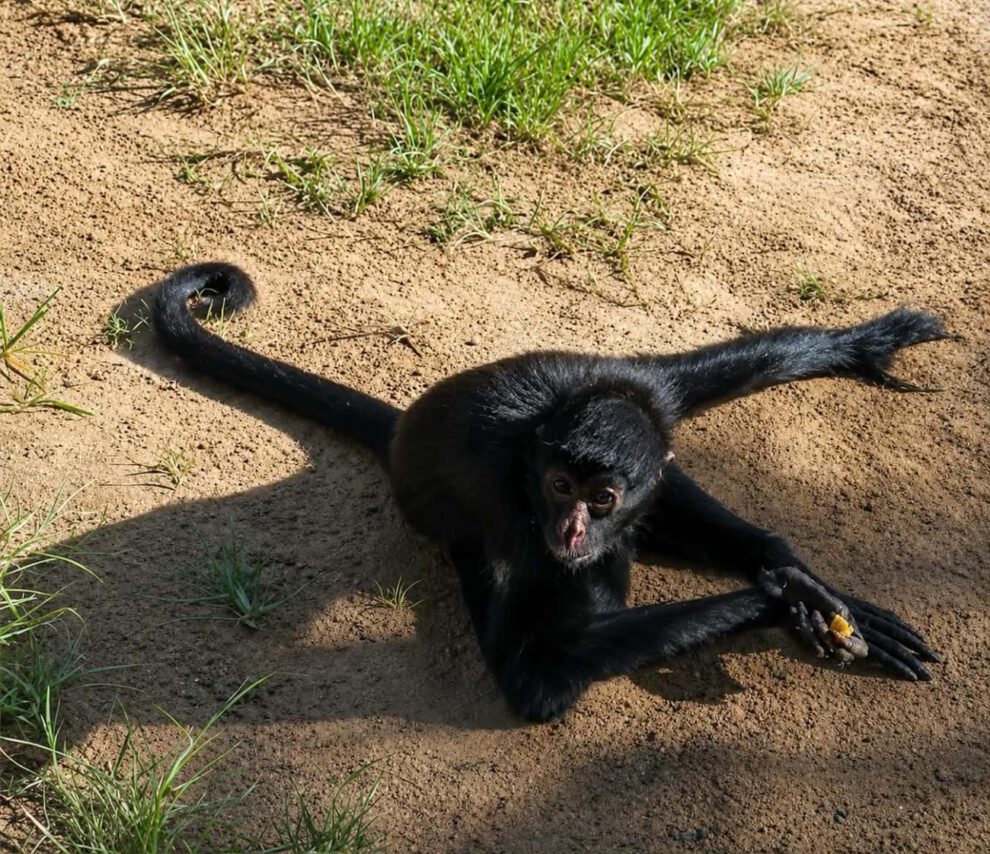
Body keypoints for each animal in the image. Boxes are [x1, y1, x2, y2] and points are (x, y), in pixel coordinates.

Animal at [154, 262, 945, 722]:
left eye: (601, 498)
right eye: (559, 486)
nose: (571, 529)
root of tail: (403, 427)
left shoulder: (644, 392)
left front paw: (865, 344)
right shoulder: (503, 502)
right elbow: (534, 678)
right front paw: (779, 602)